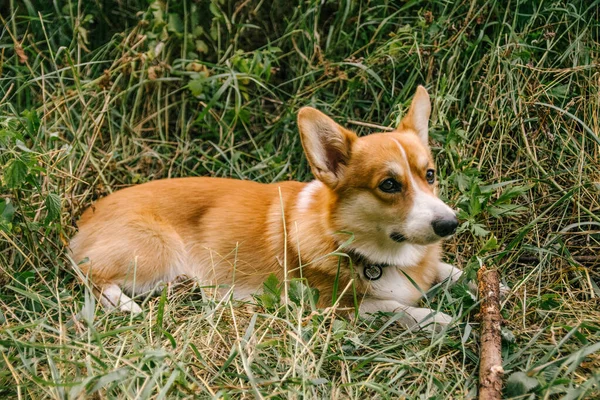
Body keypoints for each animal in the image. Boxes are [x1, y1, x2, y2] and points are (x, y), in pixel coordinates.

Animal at [70, 86, 464, 330]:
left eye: (430, 175)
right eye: (389, 185)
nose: (450, 224)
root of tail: (87, 215)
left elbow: (449, 271)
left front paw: (473, 282)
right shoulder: (334, 306)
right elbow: (398, 309)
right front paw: (439, 318)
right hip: (157, 250)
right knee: (93, 277)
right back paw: (126, 306)